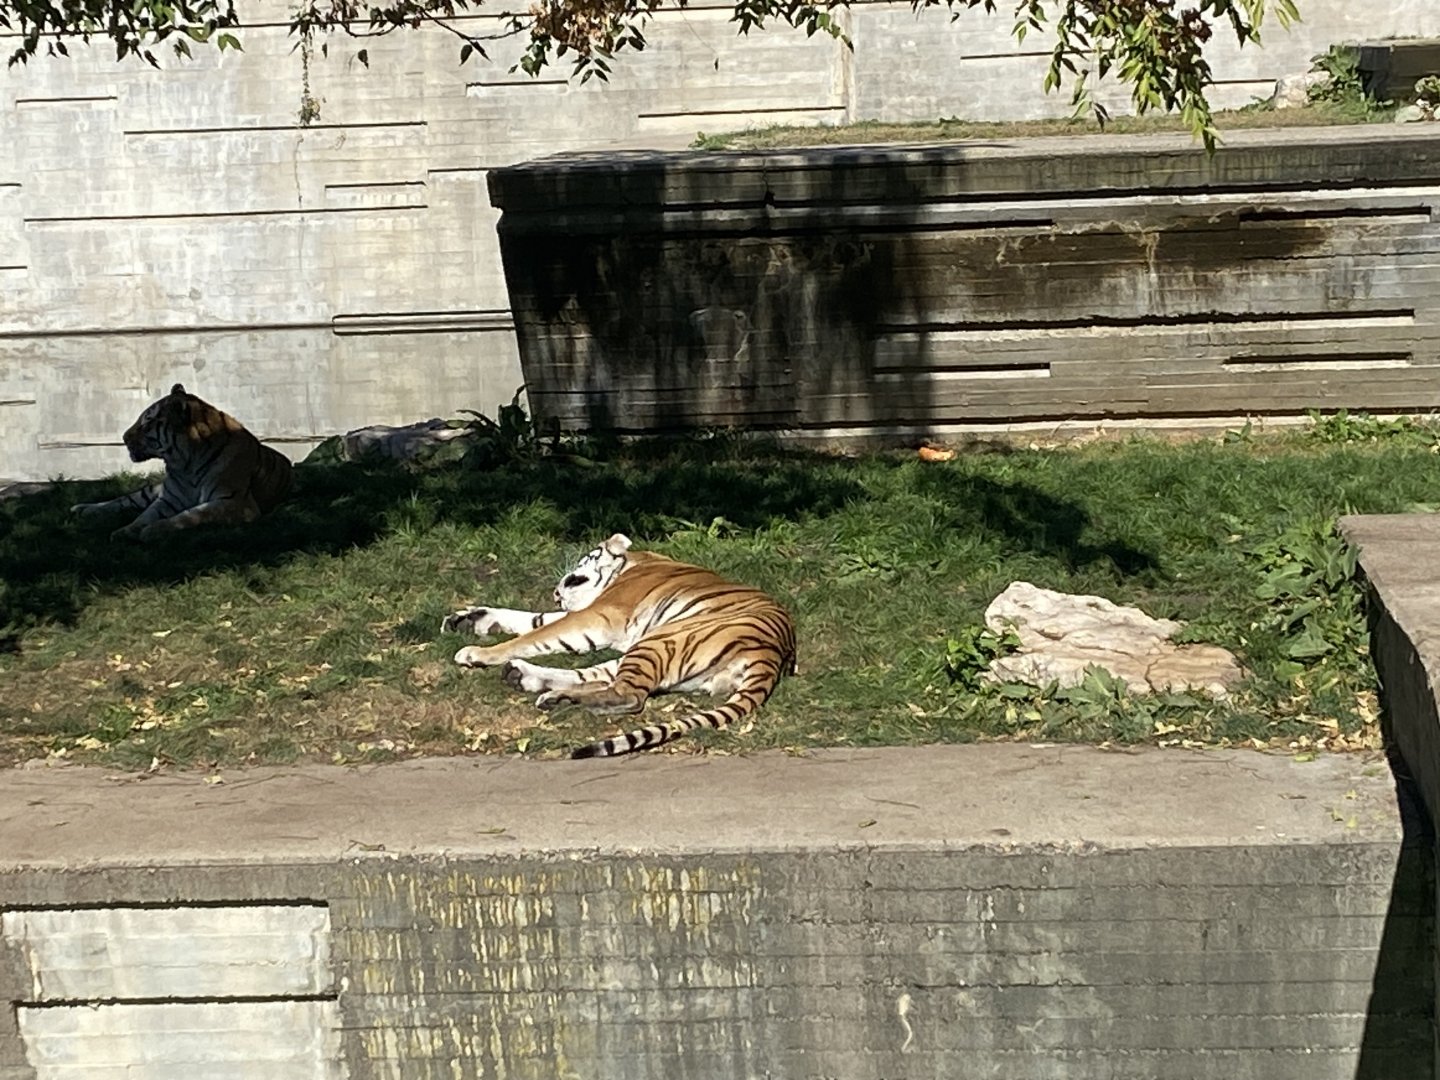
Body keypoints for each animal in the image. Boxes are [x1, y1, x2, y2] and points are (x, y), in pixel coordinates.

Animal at [71, 384, 293, 542]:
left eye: (148, 421)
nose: (124, 437)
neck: (186, 465)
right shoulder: (168, 498)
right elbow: (144, 515)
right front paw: (125, 531)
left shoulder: (235, 502)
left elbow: (189, 515)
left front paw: (153, 530)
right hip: (152, 489)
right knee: (124, 500)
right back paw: (83, 509)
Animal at [443, 533, 797, 759]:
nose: (556, 594)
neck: (633, 562)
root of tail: (773, 652)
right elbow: (534, 620)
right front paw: (470, 619)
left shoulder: (595, 616)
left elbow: (533, 634)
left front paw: (477, 652)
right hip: (648, 647)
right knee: (603, 678)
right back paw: (536, 685)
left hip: (659, 639)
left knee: (630, 696)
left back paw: (549, 692)